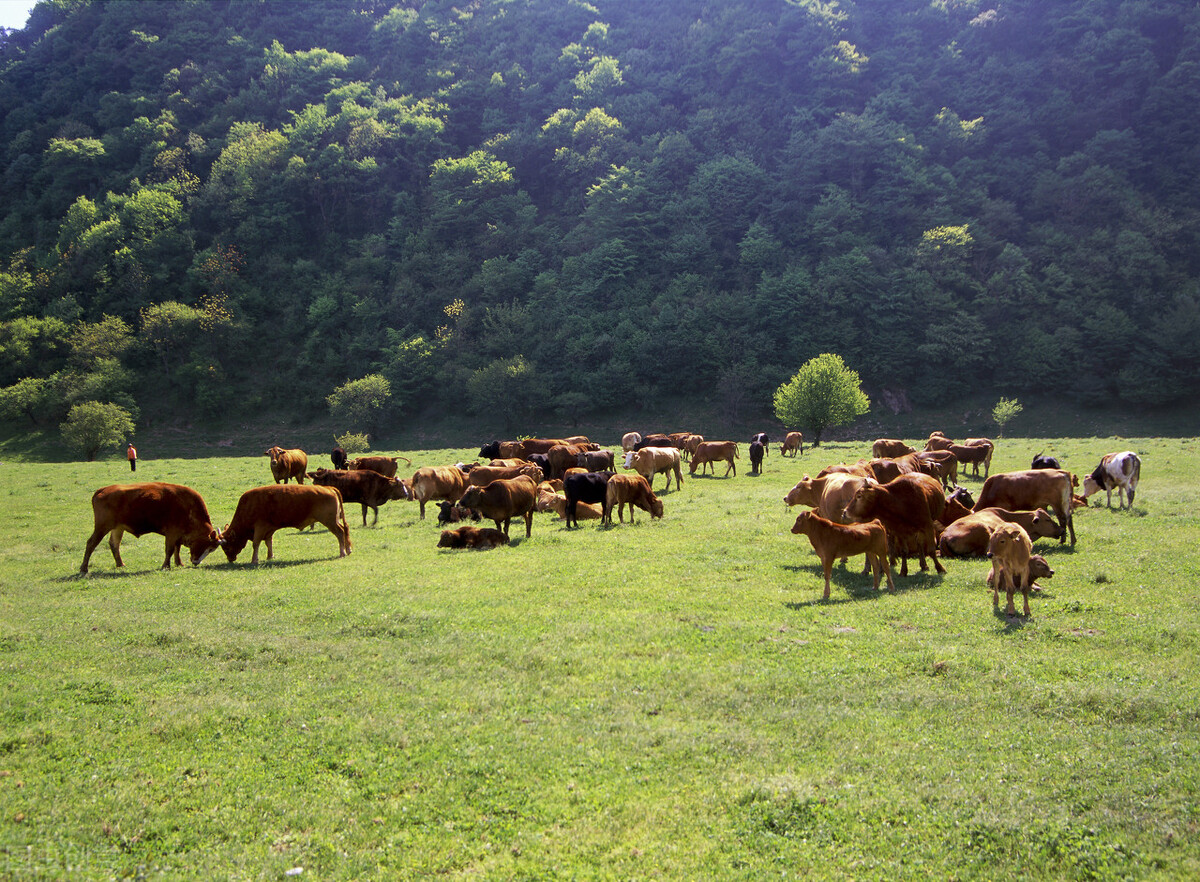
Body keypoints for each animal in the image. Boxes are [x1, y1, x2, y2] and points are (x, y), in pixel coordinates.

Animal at [79, 480, 223, 576]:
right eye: (209, 548)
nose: (196, 562)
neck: (189, 507)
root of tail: (102, 490)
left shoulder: (178, 534)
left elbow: (177, 549)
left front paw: (178, 563)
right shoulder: (172, 533)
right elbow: (170, 550)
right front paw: (166, 566)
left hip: (117, 528)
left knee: (114, 544)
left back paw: (120, 564)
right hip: (102, 527)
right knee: (91, 543)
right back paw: (84, 568)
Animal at [220, 482, 350, 566]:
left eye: (227, 547)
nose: (230, 559)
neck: (249, 505)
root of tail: (329, 488)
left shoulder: (259, 528)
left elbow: (256, 544)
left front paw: (254, 560)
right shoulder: (269, 529)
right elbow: (269, 542)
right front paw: (270, 556)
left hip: (330, 522)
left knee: (340, 532)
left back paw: (342, 553)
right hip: (335, 521)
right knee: (345, 530)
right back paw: (348, 550)